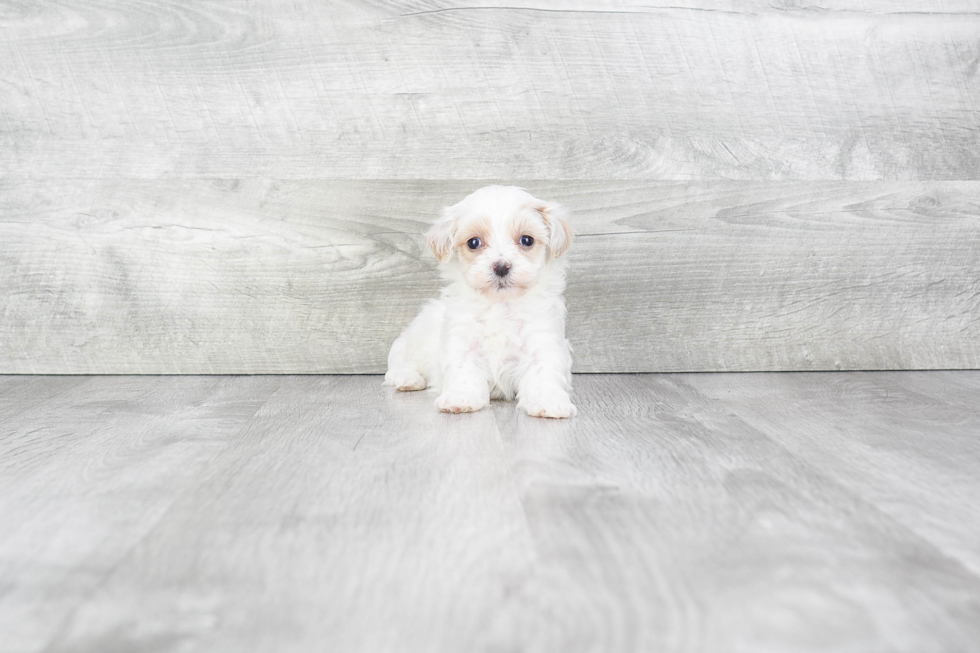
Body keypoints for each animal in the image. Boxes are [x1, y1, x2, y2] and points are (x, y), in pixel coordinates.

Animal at [382, 183, 576, 418]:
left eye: (527, 240)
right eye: (474, 242)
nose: (501, 266)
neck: (500, 305)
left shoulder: (542, 340)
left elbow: (543, 373)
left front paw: (549, 402)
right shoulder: (461, 341)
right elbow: (463, 371)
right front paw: (460, 398)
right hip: (414, 341)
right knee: (399, 365)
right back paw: (408, 378)